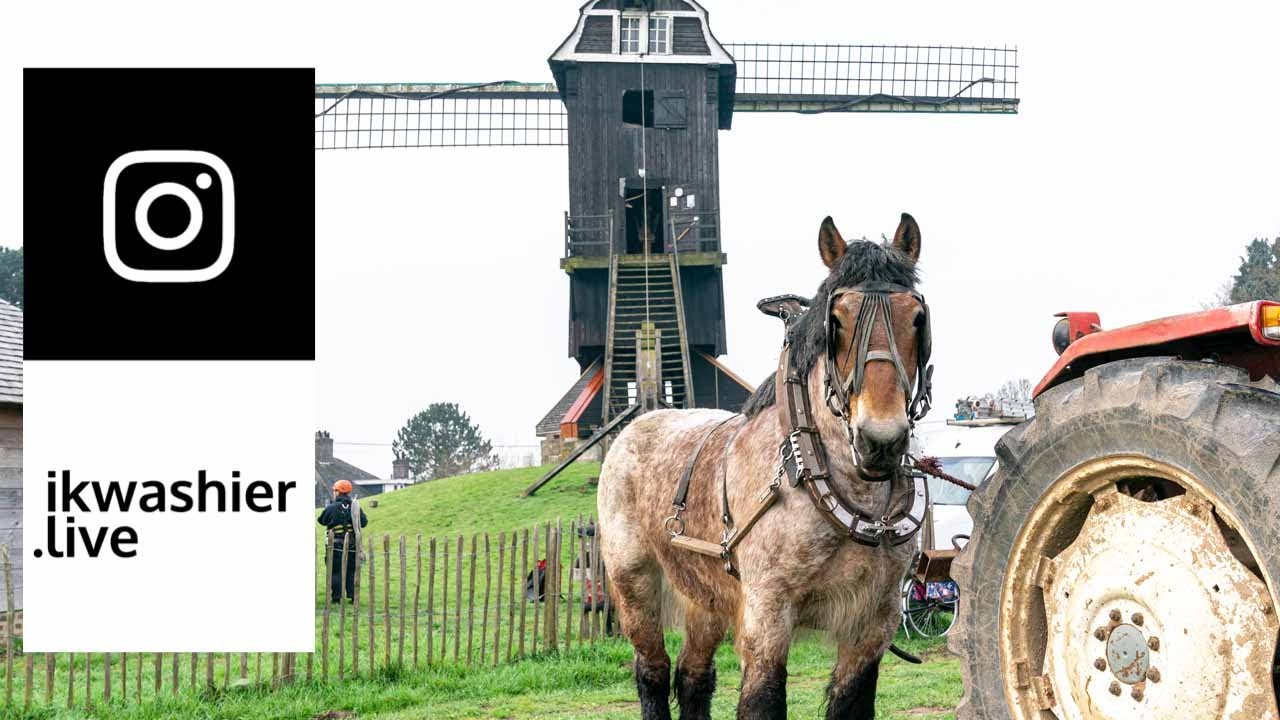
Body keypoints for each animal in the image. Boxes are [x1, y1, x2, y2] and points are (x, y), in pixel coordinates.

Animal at [598, 213, 931, 720]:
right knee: (653, 670)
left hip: (706, 596)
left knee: (693, 676)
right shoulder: (768, 612)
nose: (880, 441)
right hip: (634, 583)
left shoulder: (875, 620)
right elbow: (762, 701)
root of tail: (637, 424)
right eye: (836, 321)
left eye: (917, 318)